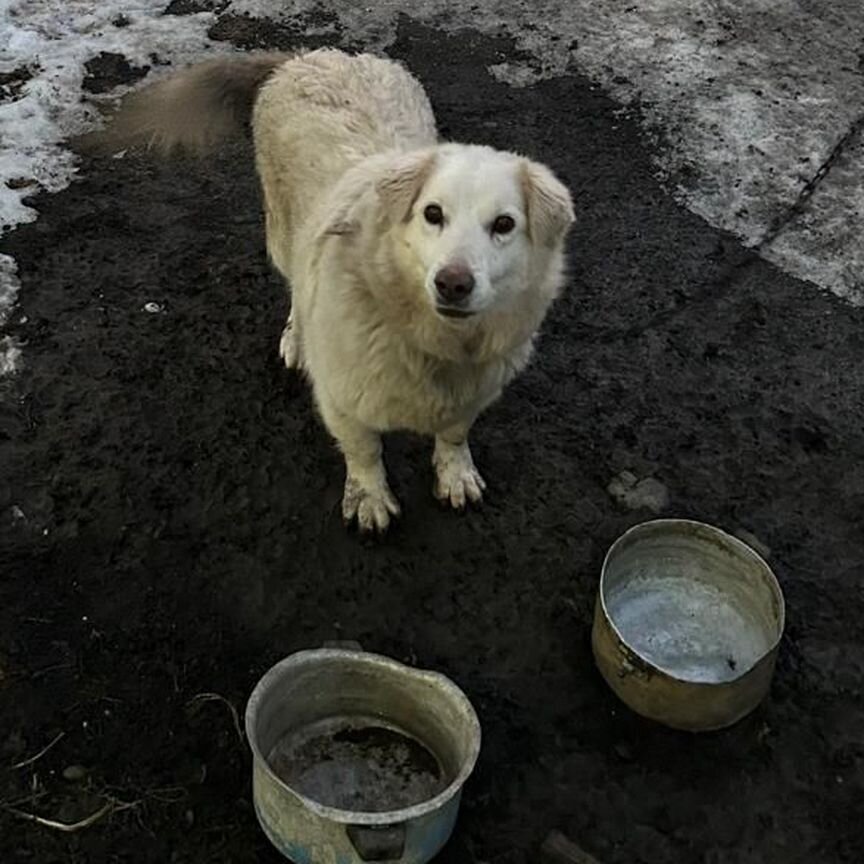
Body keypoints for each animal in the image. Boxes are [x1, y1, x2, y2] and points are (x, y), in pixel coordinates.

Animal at [94, 50, 572, 532]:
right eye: (433, 214)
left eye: (504, 224)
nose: (453, 283)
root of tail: (314, 55)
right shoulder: (342, 399)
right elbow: (364, 451)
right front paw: (369, 497)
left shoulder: (474, 393)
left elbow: (454, 435)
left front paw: (456, 474)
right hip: (284, 235)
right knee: (294, 284)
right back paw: (296, 336)